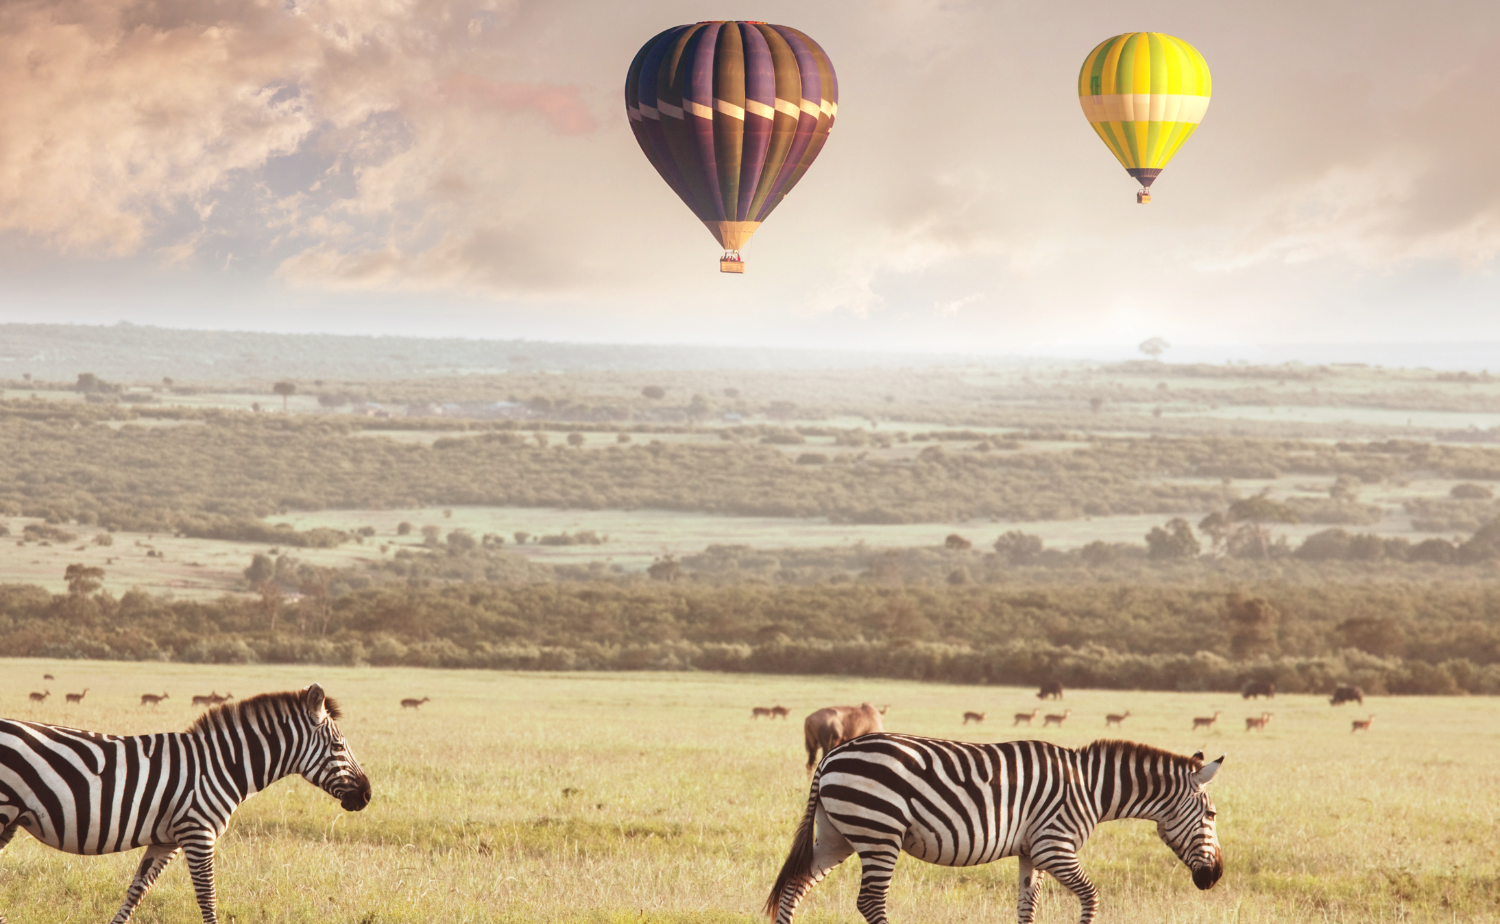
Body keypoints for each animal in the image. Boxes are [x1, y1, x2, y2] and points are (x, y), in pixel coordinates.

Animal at [0, 683, 371, 924]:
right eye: (339, 746)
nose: (367, 795)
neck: (222, 765)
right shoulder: (198, 833)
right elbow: (208, 897)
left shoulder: (166, 841)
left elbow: (137, 890)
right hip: (3, 809)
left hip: (10, 819)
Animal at [766, 735, 1223, 924]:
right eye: (1212, 815)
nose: (1215, 876)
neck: (1090, 789)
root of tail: (832, 755)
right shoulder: (1054, 846)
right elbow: (1091, 896)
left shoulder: (1031, 851)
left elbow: (1026, 907)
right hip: (880, 833)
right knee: (870, 901)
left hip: (837, 836)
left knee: (794, 886)